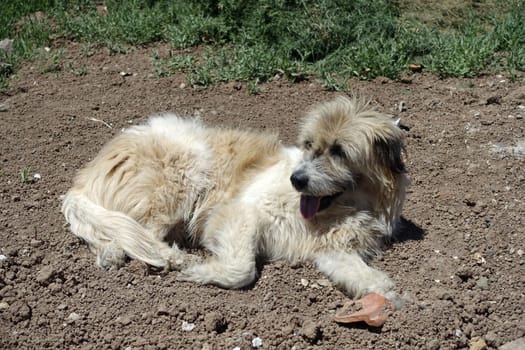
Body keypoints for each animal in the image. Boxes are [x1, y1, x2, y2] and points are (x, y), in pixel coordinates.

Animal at [62, 95, 410, 300]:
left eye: (339, 152)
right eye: (309, 145)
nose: (296, 179)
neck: (337, 210)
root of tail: (83, 178)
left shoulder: (333, 251)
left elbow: (371, 279)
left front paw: (389, 295)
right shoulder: (239, 213)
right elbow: (242, 270)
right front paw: (199, 270)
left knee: (113, 231)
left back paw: (111, 255)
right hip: (184, 174)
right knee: (140, 234)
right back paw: (170, 257)